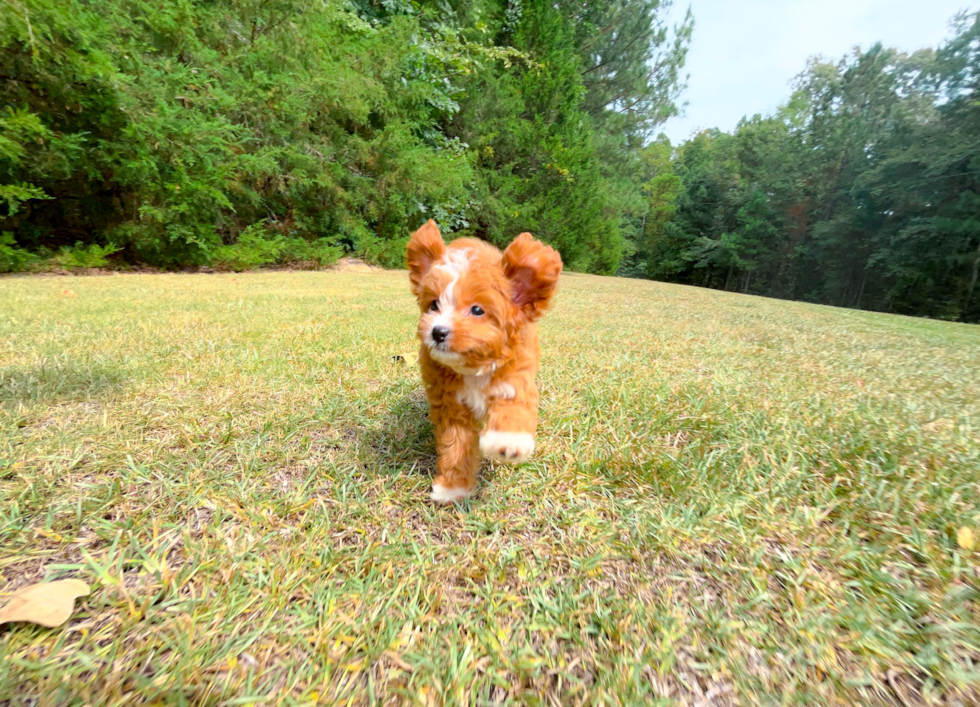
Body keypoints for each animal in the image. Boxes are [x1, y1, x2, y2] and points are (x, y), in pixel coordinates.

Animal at [404, 221, 560, 504]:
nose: (438, 332)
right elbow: (456, 444)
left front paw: (508, 443)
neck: (474, 367)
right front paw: (453, 487)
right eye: (434, 305)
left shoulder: (515, 380)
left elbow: (514, 408)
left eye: (477, 310)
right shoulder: (451, 404)